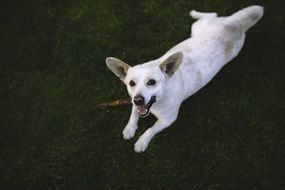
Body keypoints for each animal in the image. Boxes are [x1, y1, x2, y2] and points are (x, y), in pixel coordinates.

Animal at [105, 5, 262, 152]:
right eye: (131, 83)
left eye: (152, 82)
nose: (138, 99)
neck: (159, 101)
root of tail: (235, 24)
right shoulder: (134, 101)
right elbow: (133, 114)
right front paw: (129, 129)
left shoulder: (168, 120)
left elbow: (152, 129)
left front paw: (142, 142)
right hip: (198, 29)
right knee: (213, 14)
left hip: (202, 28)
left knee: (212, 14)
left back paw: (194, 13)